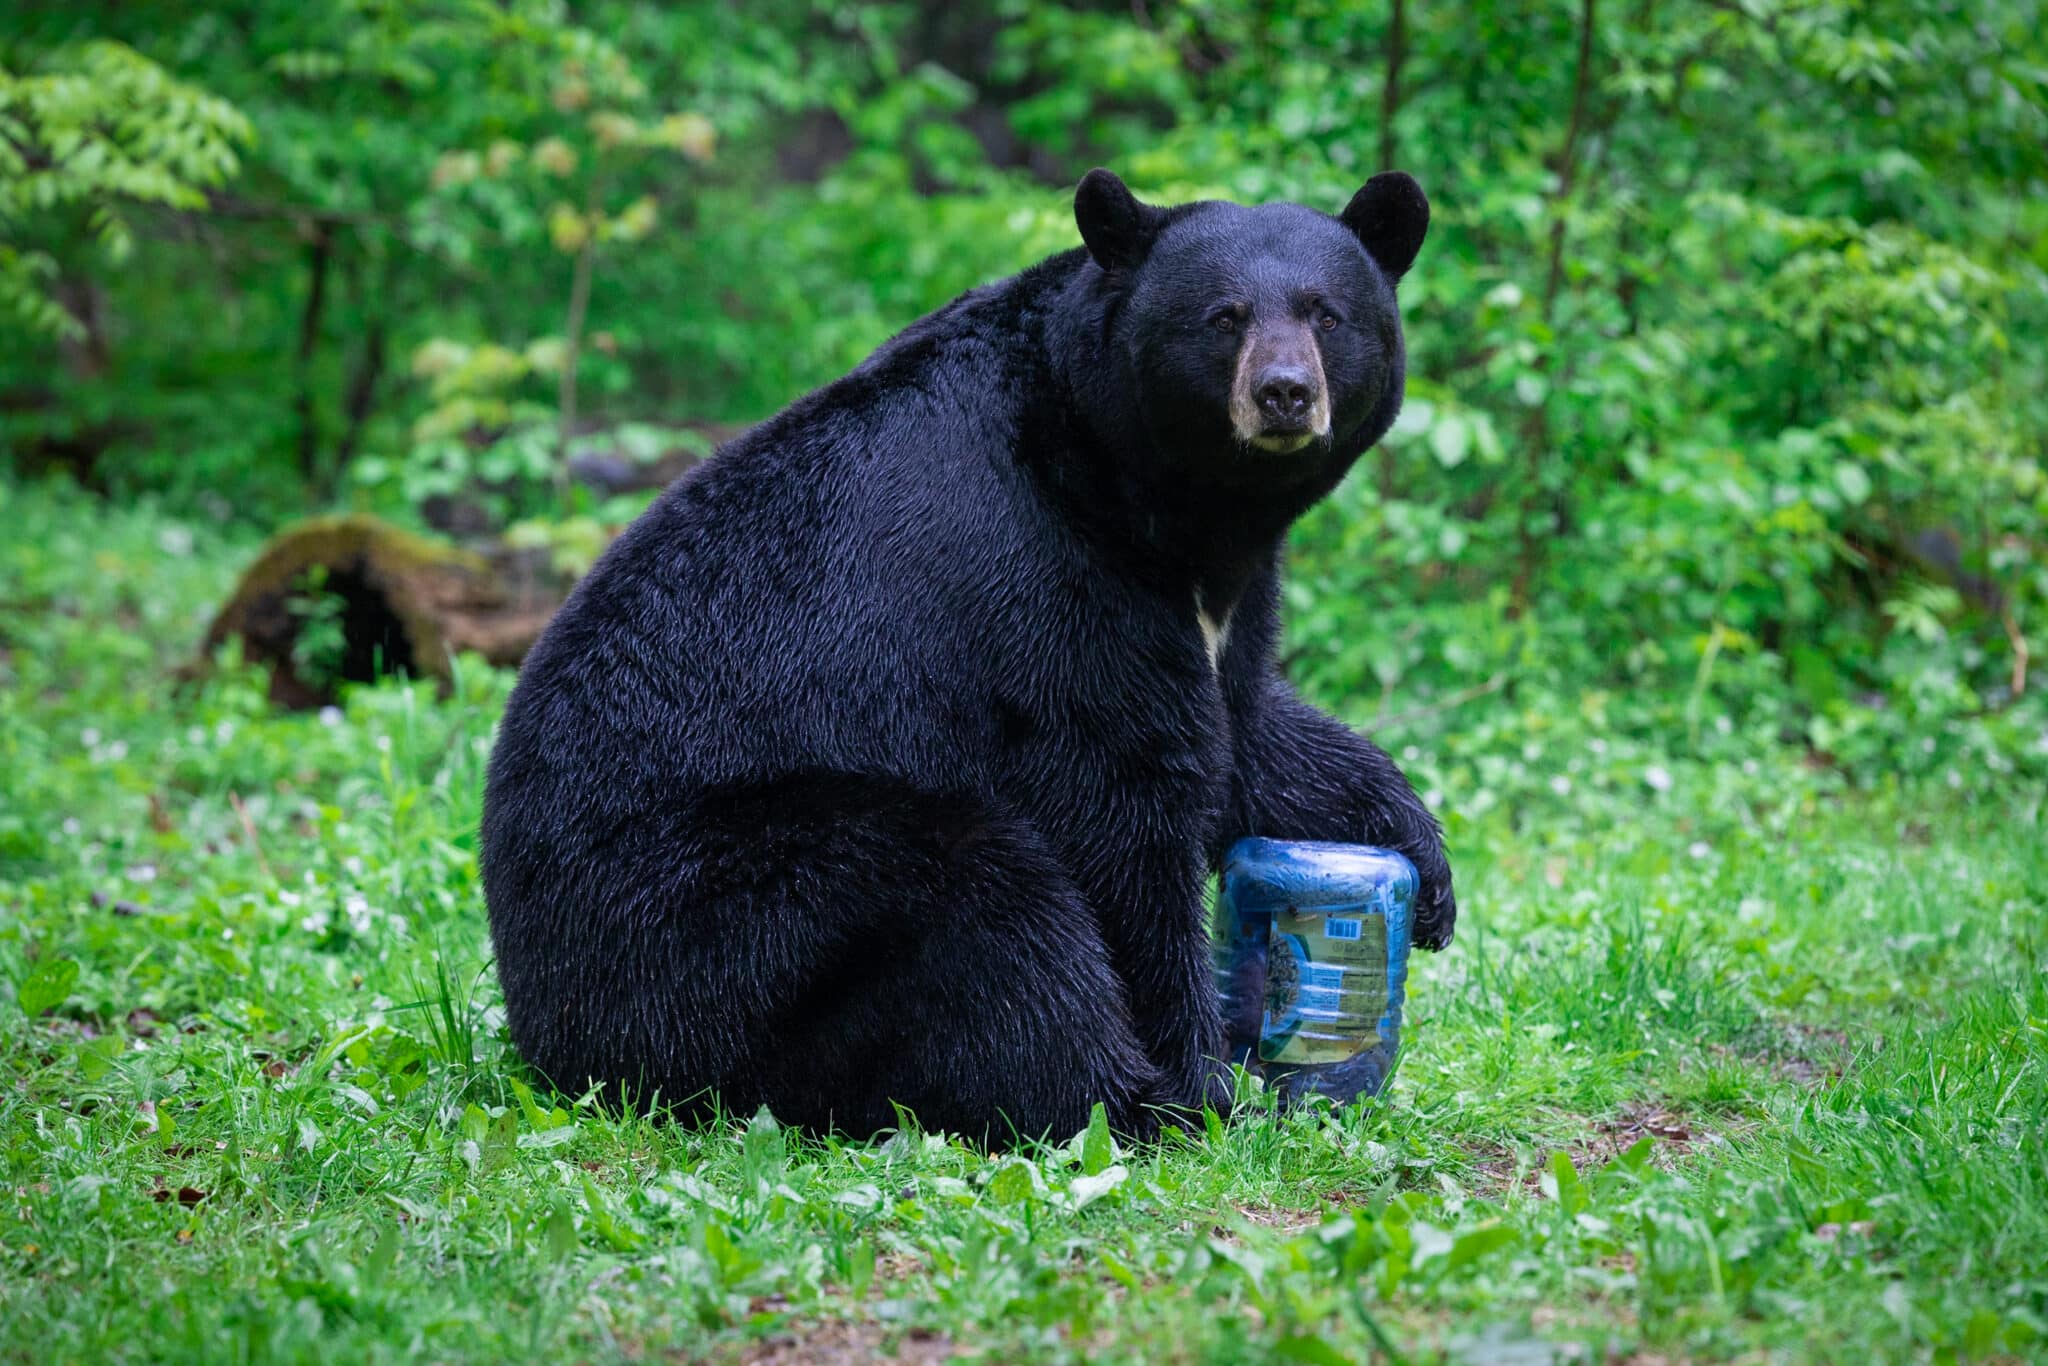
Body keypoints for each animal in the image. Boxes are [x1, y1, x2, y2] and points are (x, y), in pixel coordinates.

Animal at [480, 168, 1455, 1142]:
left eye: (1327, 313)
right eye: (1223, 316)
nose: (1285, 393)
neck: (1157, 502)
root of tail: (546, 1023)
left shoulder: (1221, 599)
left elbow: (1246, 728)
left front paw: (1421, 866)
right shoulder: (1045, 576)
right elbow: (1122, 804)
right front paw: (1202, 1083)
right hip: (708, 910)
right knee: (981, 902)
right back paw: (1121, 1096)